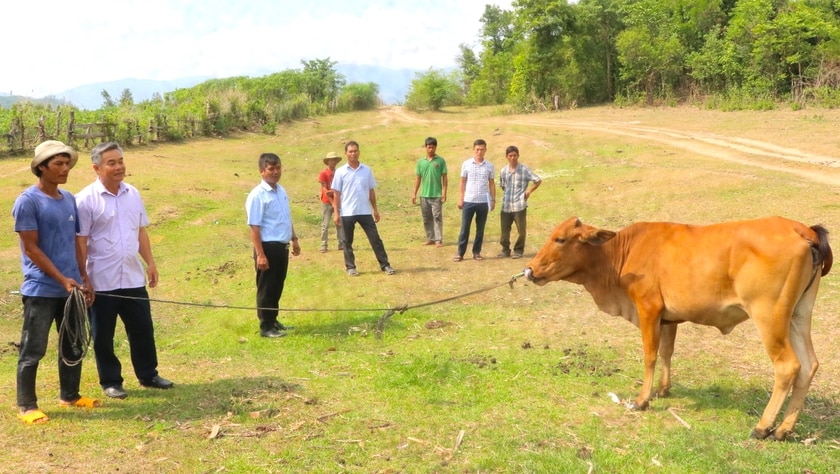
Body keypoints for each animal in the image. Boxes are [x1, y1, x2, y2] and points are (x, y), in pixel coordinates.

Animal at [528, 216, 832, 440]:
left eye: (560, 238)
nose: (530, 269)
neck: (622, 252)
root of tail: (802, 229)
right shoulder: (668, 319)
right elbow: (667, 352)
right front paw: (664, 389)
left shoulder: (648, 309)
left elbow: (650, 355)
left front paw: (642, 399)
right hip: (798, 315)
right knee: (809, 365)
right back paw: (784, 429)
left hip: (769, 316)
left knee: (788, 366)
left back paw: (763, 426)